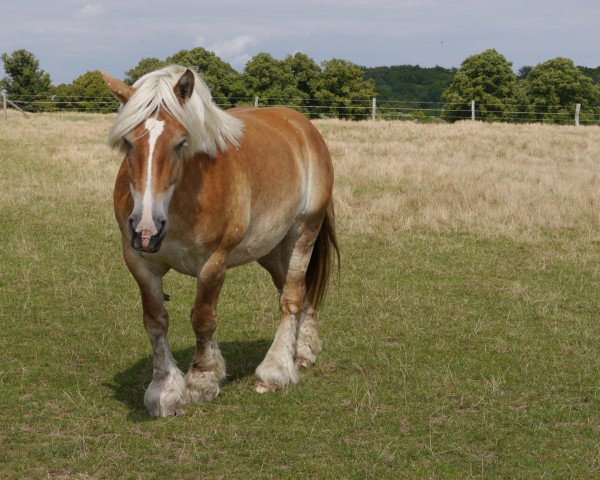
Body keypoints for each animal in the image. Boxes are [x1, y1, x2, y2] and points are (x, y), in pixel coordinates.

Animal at [102, 65, 338, 418]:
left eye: (180, 142)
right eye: (128, 142)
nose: (145, 228)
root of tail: (303, 126)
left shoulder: (214, 263)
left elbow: (202, 318)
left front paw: (201, 381)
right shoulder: (139, 262)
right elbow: (156, 321)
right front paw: (165, 391)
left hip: (303, 233)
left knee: (291, 297)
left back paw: (275, 371)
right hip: (272, 250)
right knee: (300, 293)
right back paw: (303, 353)